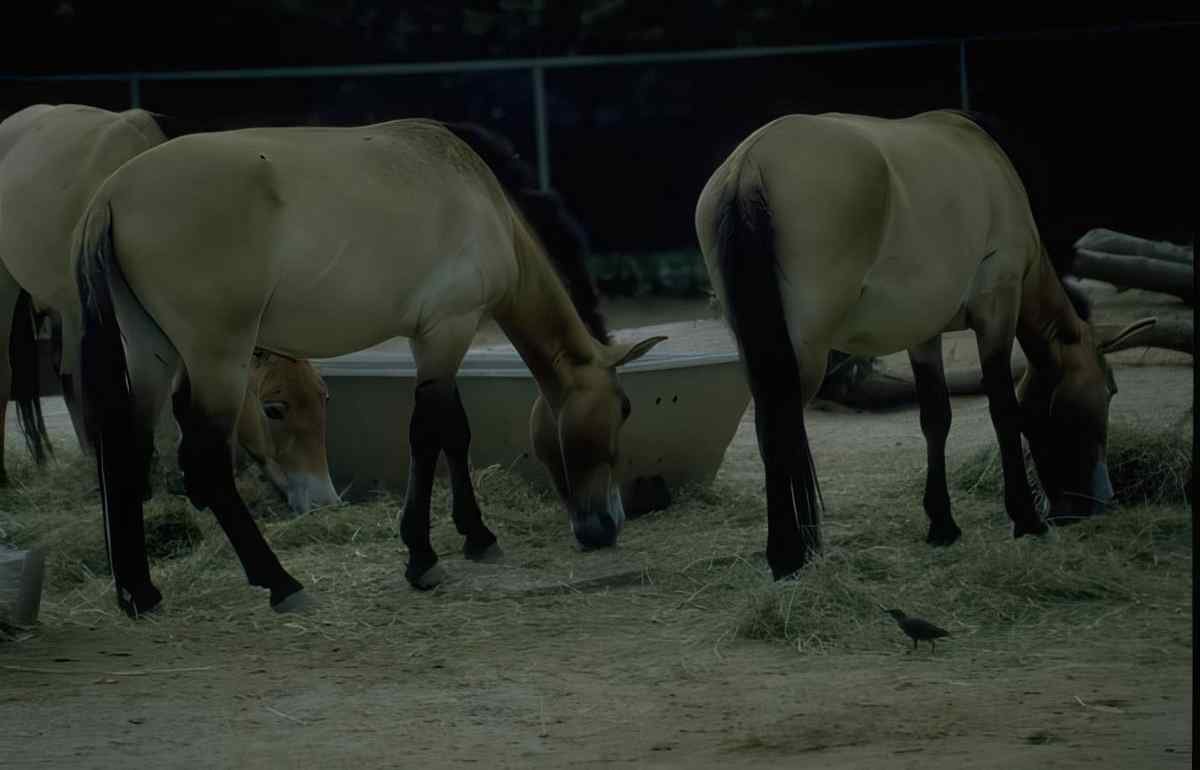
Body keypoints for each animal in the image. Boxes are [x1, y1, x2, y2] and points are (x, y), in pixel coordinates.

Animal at [71, 117, 665, 616]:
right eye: (625, 408)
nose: (605, 526)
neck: (481, 197)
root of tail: (110, 194)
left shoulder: (431, 338)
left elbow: (452, 432)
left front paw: (475, 538)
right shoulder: (449, 328)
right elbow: (431, 435)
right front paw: (424, 558)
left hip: (153, 353)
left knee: (127, 450)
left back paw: (140, 593)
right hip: (219, 361)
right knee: (206, 463)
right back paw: (281, 583)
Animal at [694, 109, 1156, 581]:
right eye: (1110, 390)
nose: (1099, 502)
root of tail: (748, 165)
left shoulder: (924, 334)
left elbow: (936, 419)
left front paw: (942, 524)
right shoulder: (997, 310)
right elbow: (1004, 412)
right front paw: (1026, 519)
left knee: (768, 429)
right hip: (805, 350)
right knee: (781, 424)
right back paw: (788, 554)